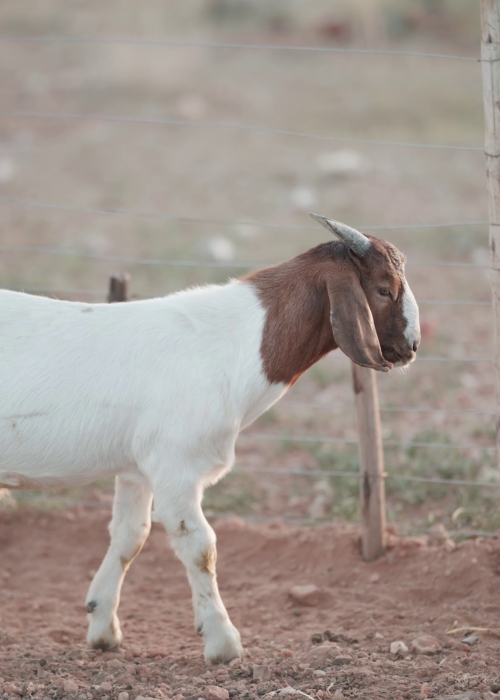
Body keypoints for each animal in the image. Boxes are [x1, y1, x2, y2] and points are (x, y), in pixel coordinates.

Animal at [0, 215, 420, 663]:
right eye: (384, 289)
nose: (412, 347)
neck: (231, 348)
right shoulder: (176, 467)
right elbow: (200, 545)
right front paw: (223, 642)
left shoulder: (138, 469)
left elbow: (130, 536)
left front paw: (103, 627)